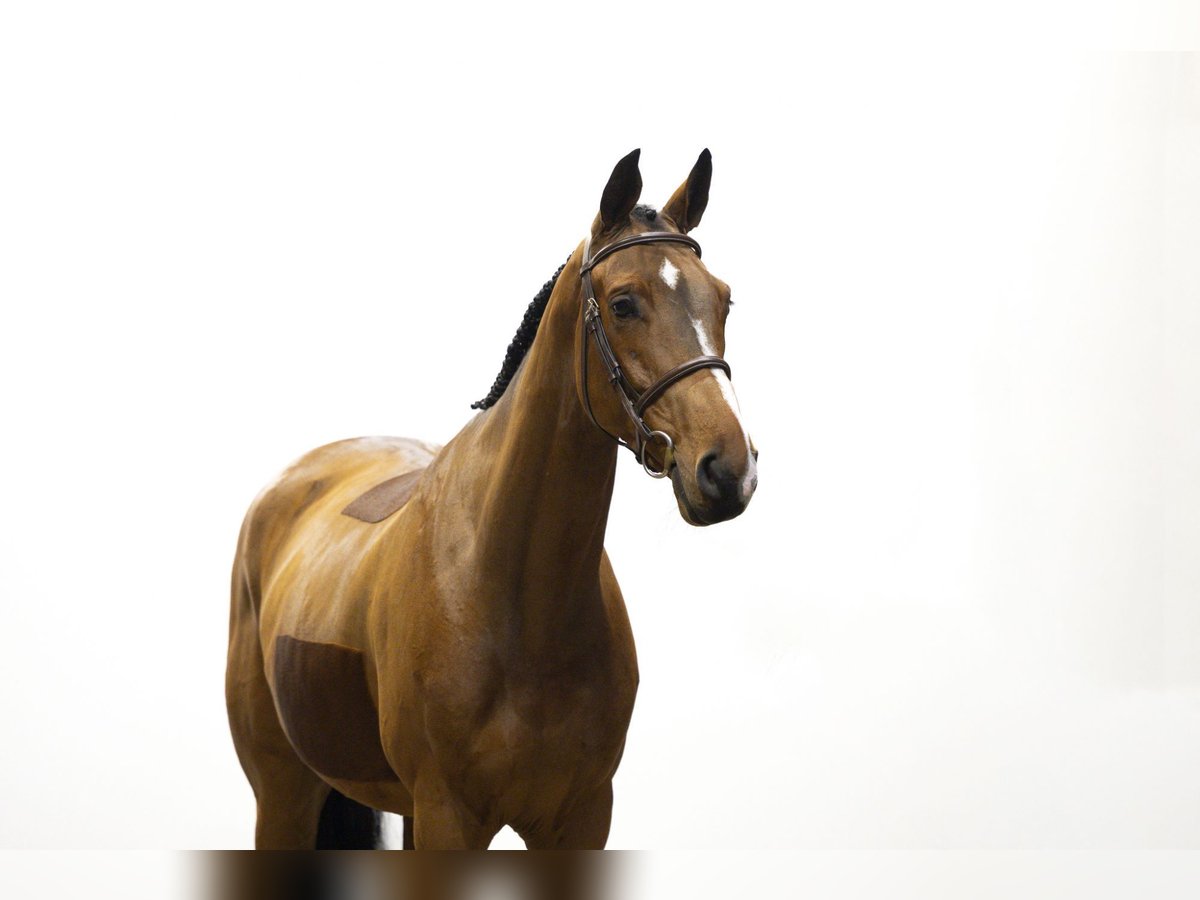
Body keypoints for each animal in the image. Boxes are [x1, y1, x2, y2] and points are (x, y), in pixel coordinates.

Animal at [225, 149, 758, 849]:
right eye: (622, 304)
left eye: (723, 300)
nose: (728, 469)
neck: (514, 599)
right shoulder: (447, 814)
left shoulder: (583, 816)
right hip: (284, 792)